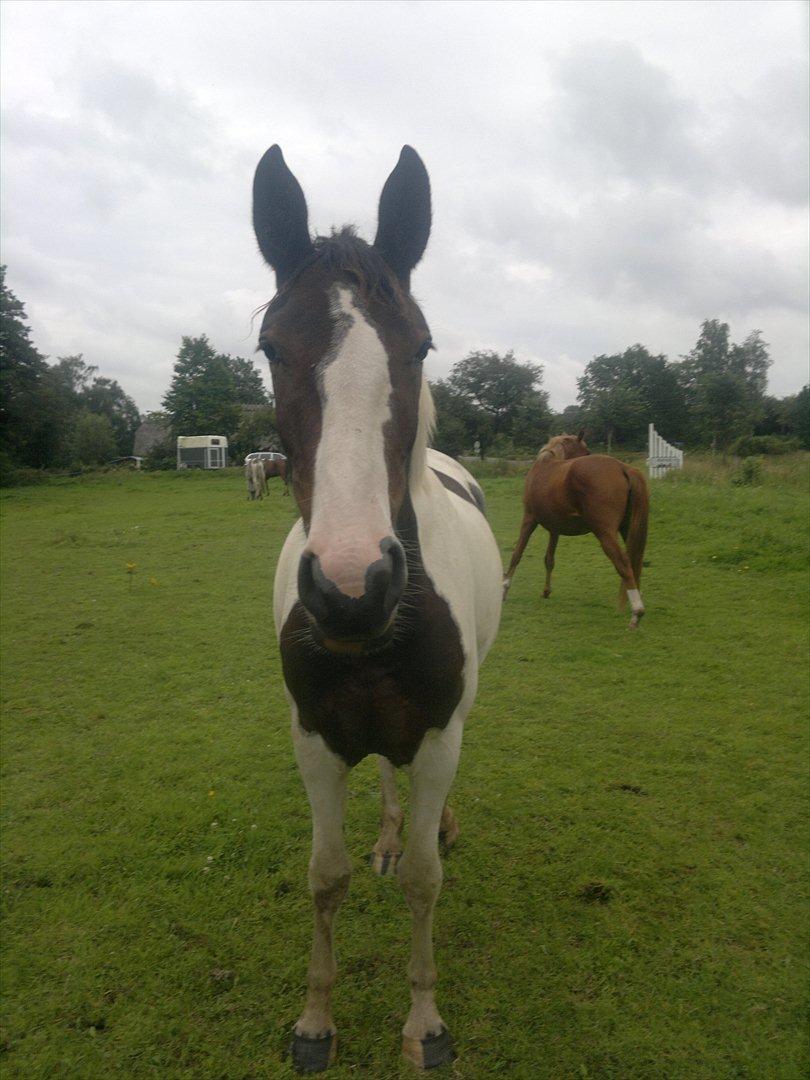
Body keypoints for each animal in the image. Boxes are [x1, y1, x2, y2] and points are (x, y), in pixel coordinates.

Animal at [253, 145, 505, 1071]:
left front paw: (425, 1024)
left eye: (421, 344)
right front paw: (314, 1021)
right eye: (270, 346)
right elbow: (325, 876)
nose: (352, 585)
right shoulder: (315, 739)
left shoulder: (436, 735)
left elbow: (430, 882)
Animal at [505, 429, 652, 630]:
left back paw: (637, 612)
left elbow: (517, 554)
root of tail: (622, 467)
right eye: (586, 450)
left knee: (623, 563)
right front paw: (546, 591)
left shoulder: (529, 520)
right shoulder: (555, 529)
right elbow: (549, 559)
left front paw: (504, 587)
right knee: (635, 561)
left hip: (605, 533)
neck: (546, 465)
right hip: (627, 528)